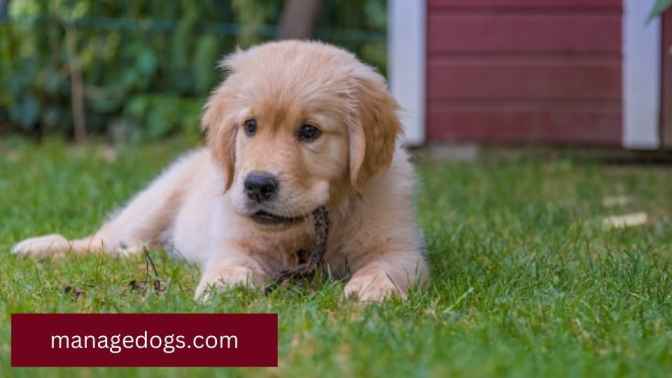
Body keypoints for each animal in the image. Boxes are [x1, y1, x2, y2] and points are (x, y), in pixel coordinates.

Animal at [10, 40, 428, 302]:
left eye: (309, 132)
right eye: (250, 126)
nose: (257, 185)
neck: (311, 225)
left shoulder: (402, 247)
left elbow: (388, 266)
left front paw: (373, 288)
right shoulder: (235, 240)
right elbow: (230, 265)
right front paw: (226, 286)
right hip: (153, 204)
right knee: (101, 241)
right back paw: (44, 248)